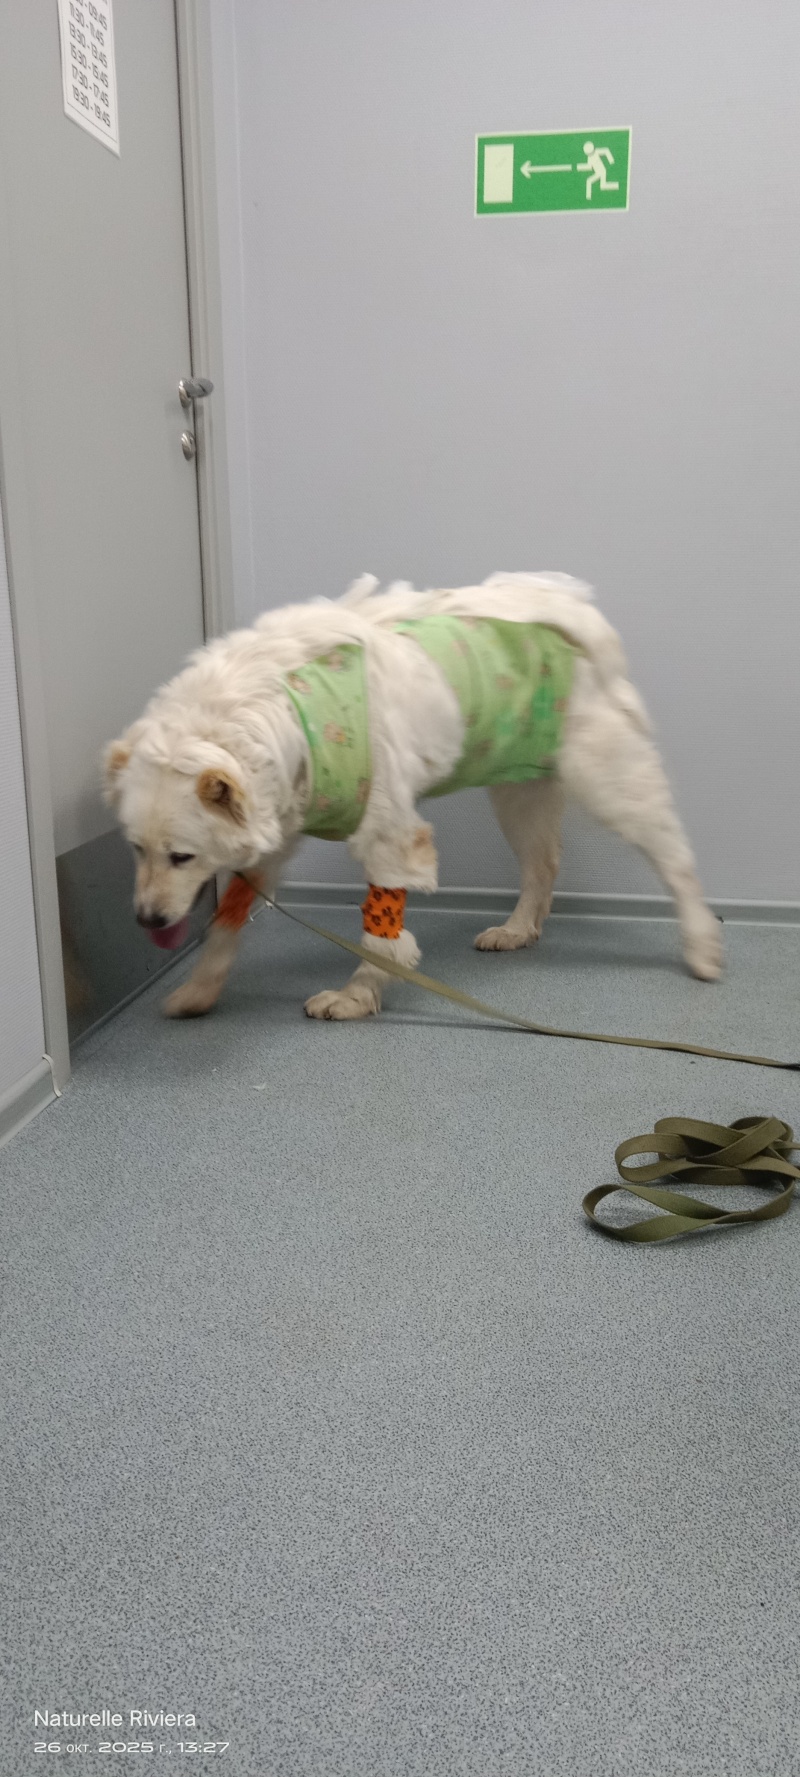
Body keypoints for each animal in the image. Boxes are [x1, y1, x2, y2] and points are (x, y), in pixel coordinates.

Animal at [103, 572, 722, 1020]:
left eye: (182, 856)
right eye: (134, 849)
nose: (147, 921)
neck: (283, 708)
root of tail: (572, 607)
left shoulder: (389, 836)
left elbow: (381, 934)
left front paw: (356, 998)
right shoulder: (277, 830)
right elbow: (229, 920)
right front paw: (200, 991)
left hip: (609, 782)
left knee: (676, 857)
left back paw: (701, 946)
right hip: (518, 792)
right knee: (543, 864)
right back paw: (518, 930)